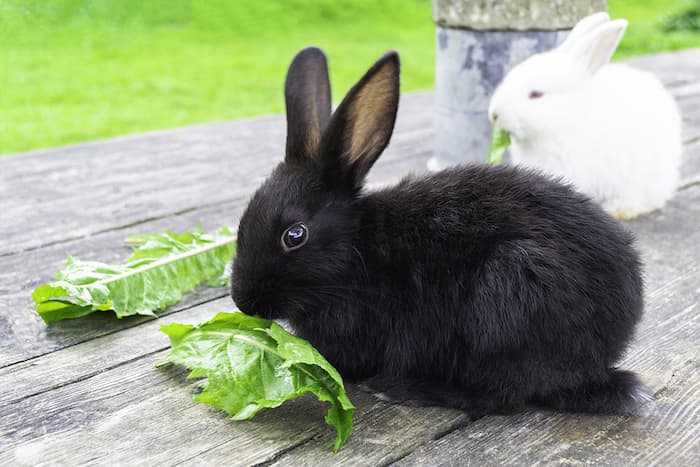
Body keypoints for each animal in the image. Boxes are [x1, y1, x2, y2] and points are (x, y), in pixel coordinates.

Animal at [231, 47, 652, 416]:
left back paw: (404, 389)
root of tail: (602, 355)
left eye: (294, 235)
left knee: (502, 397)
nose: (243, 302)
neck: (355, 254)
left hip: (508, 296)